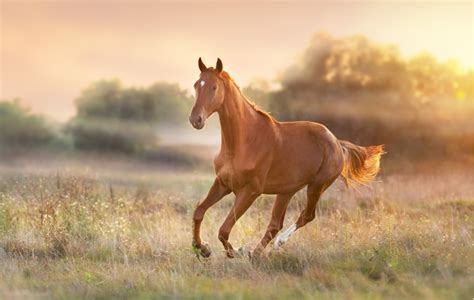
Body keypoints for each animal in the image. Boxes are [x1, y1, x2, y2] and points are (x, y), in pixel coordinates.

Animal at [189, 58, 386, 258]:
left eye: (214, 87)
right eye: (196, 84)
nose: (195, 120)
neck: (243, 142)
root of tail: (337, 143)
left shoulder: (250, 191)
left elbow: (224, 230)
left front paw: (237, 251)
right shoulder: (223, 184)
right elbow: (199, 212)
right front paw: (203, 248)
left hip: (316, 187)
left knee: (306, 216)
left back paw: (273, 246)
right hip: (286, 192)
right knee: (275, 224)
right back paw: (259, 252)